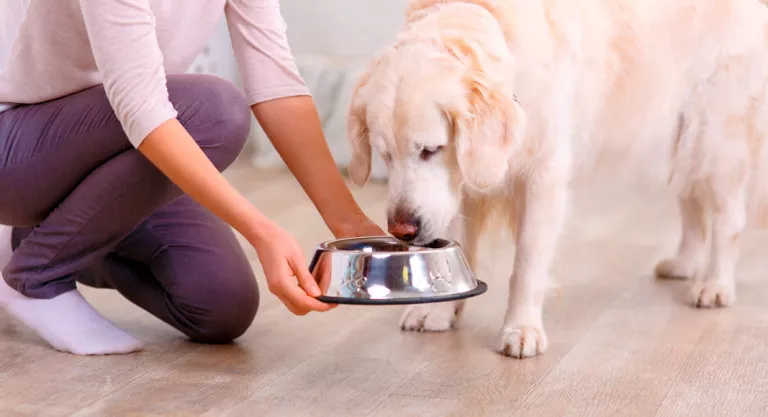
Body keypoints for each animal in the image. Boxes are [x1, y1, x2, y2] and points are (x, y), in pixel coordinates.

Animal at [344, 0, 768, 358]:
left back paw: (715, 285)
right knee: (692, 204)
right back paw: (683, 263)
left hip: (713, 134)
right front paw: (437, 313)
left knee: (728, 217)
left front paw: (521, 329)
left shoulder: (542, 176)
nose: (402, 229)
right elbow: (455, 246)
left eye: (431, 149)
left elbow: (527, 265)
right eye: (385, 155)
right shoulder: (458, 187)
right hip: (679, 138)